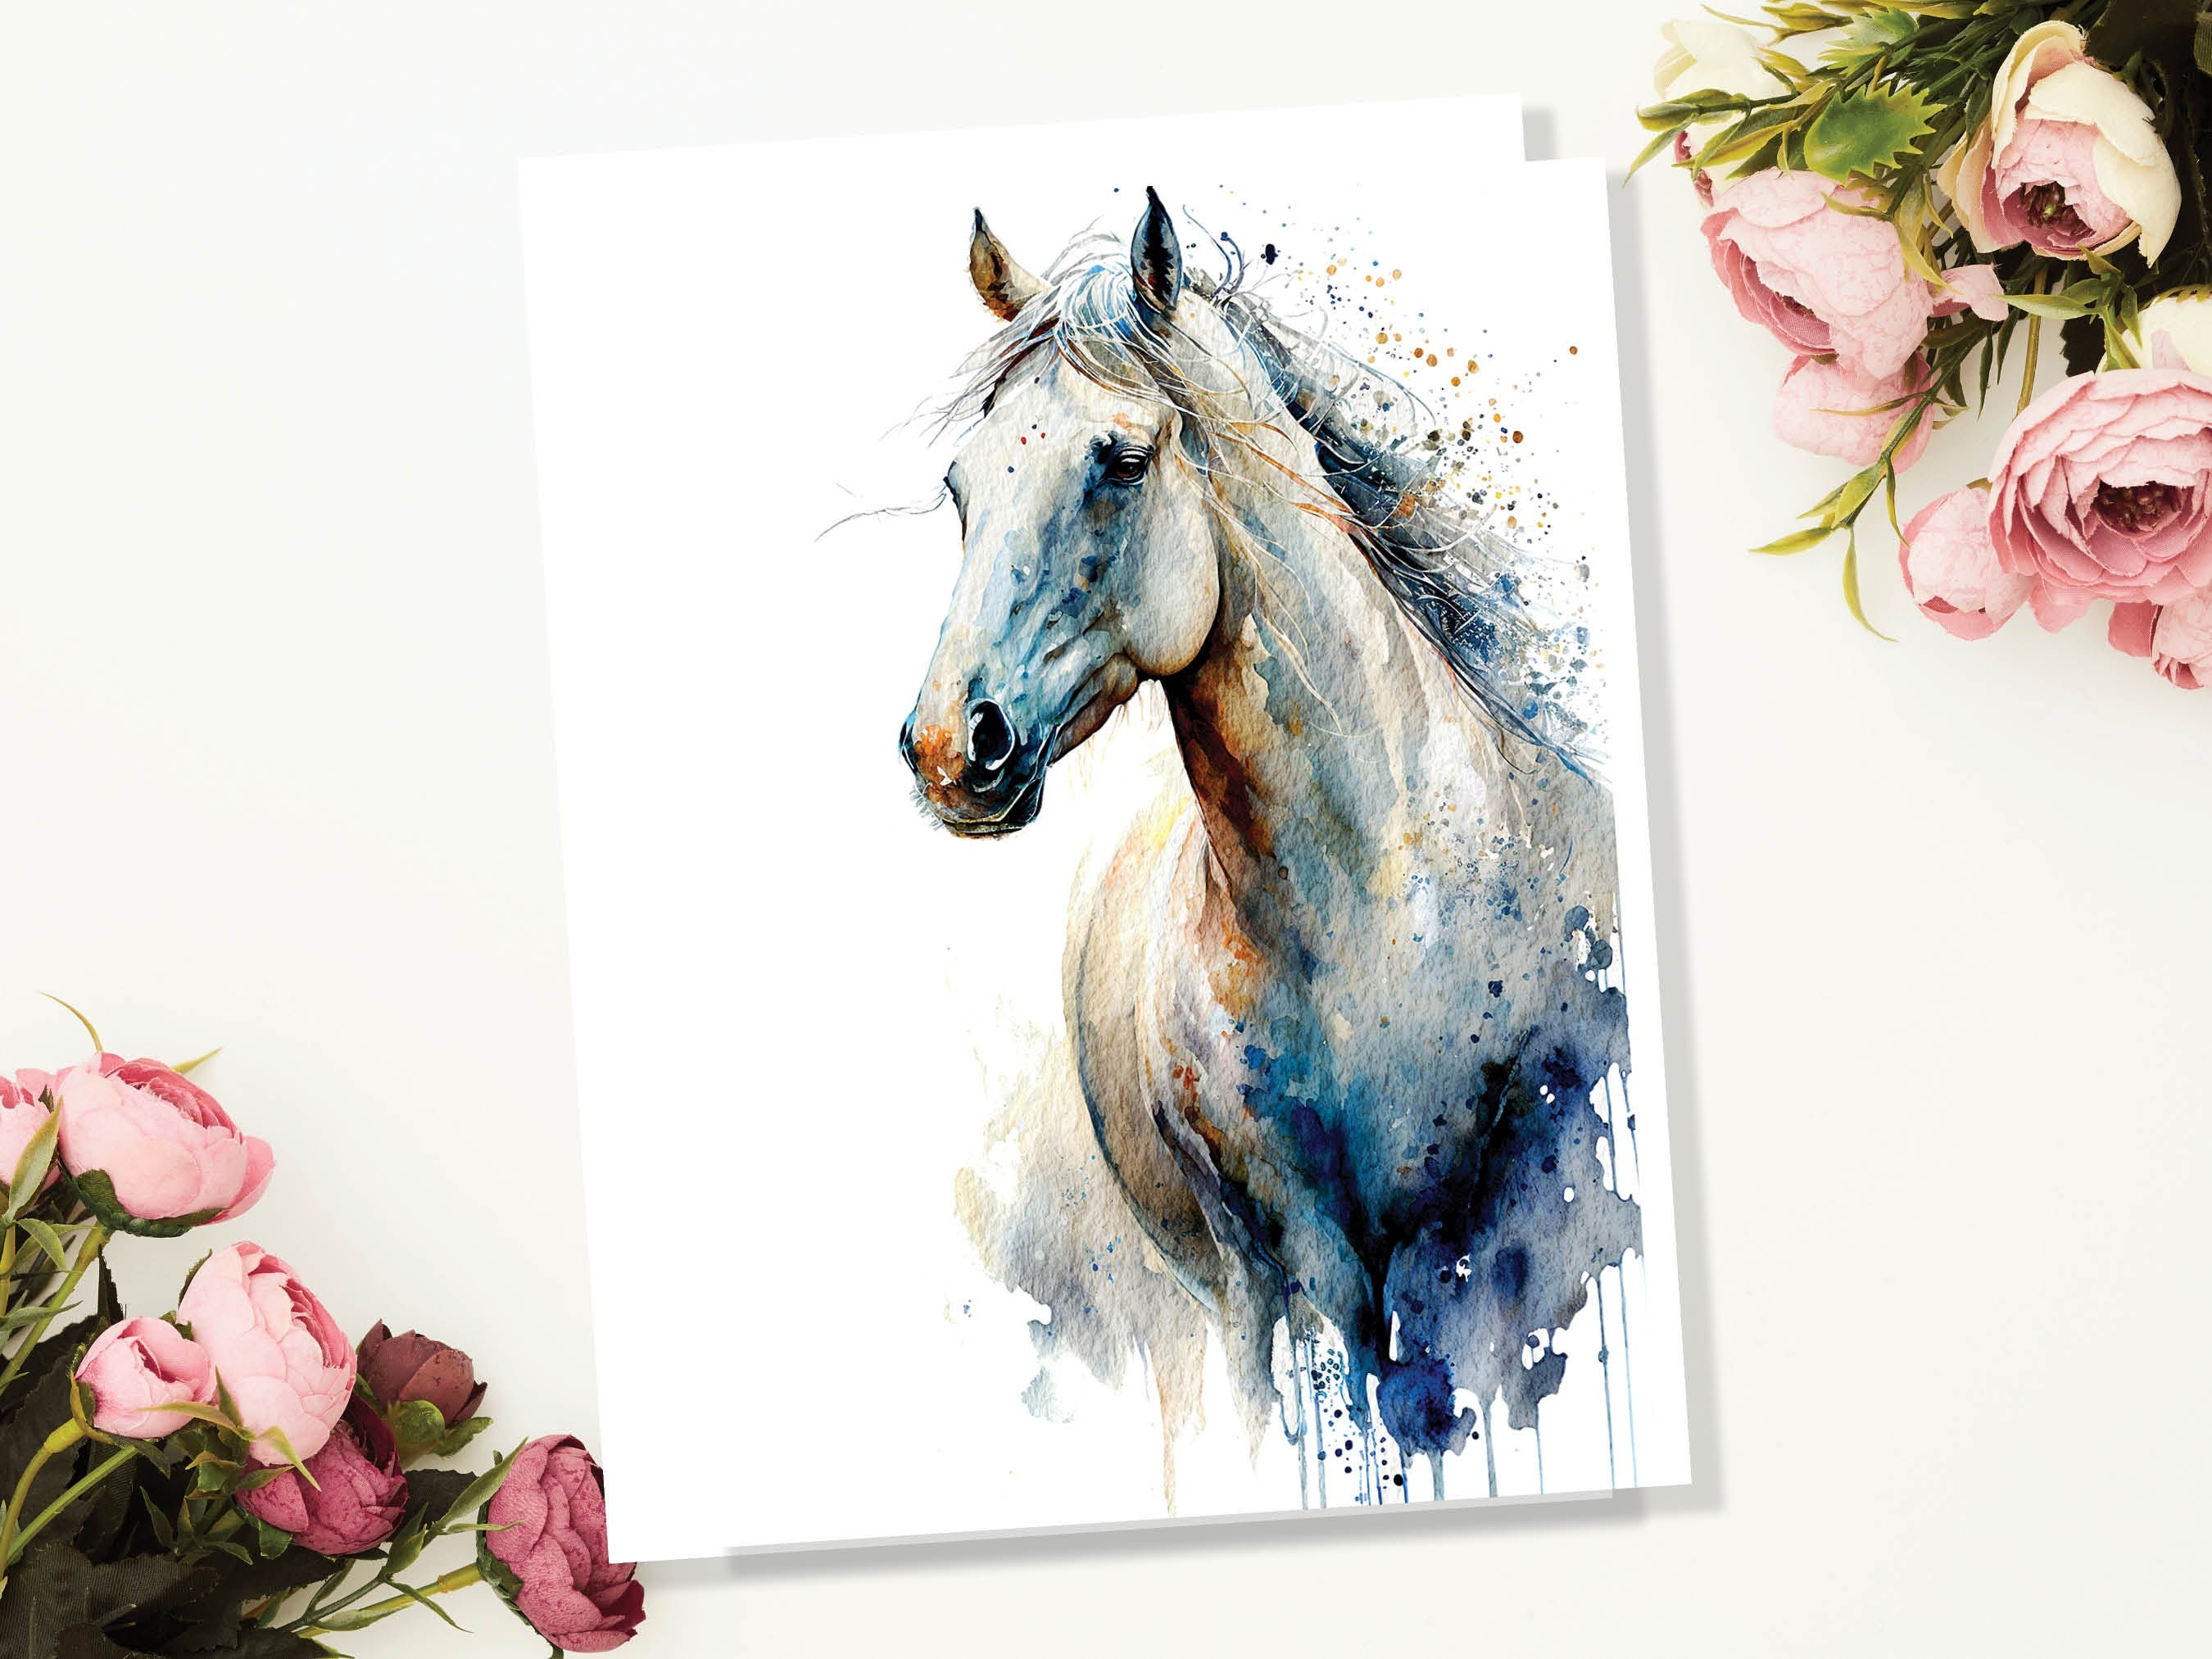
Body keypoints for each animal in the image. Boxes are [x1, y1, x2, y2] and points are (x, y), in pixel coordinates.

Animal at [901, 188, 1638, 1500]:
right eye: (960, 483)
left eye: (1122, 460)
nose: (949, 746)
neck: (1390, 915)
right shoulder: (1296, 1268)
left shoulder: (1475, 1250)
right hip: (1220, 1313)